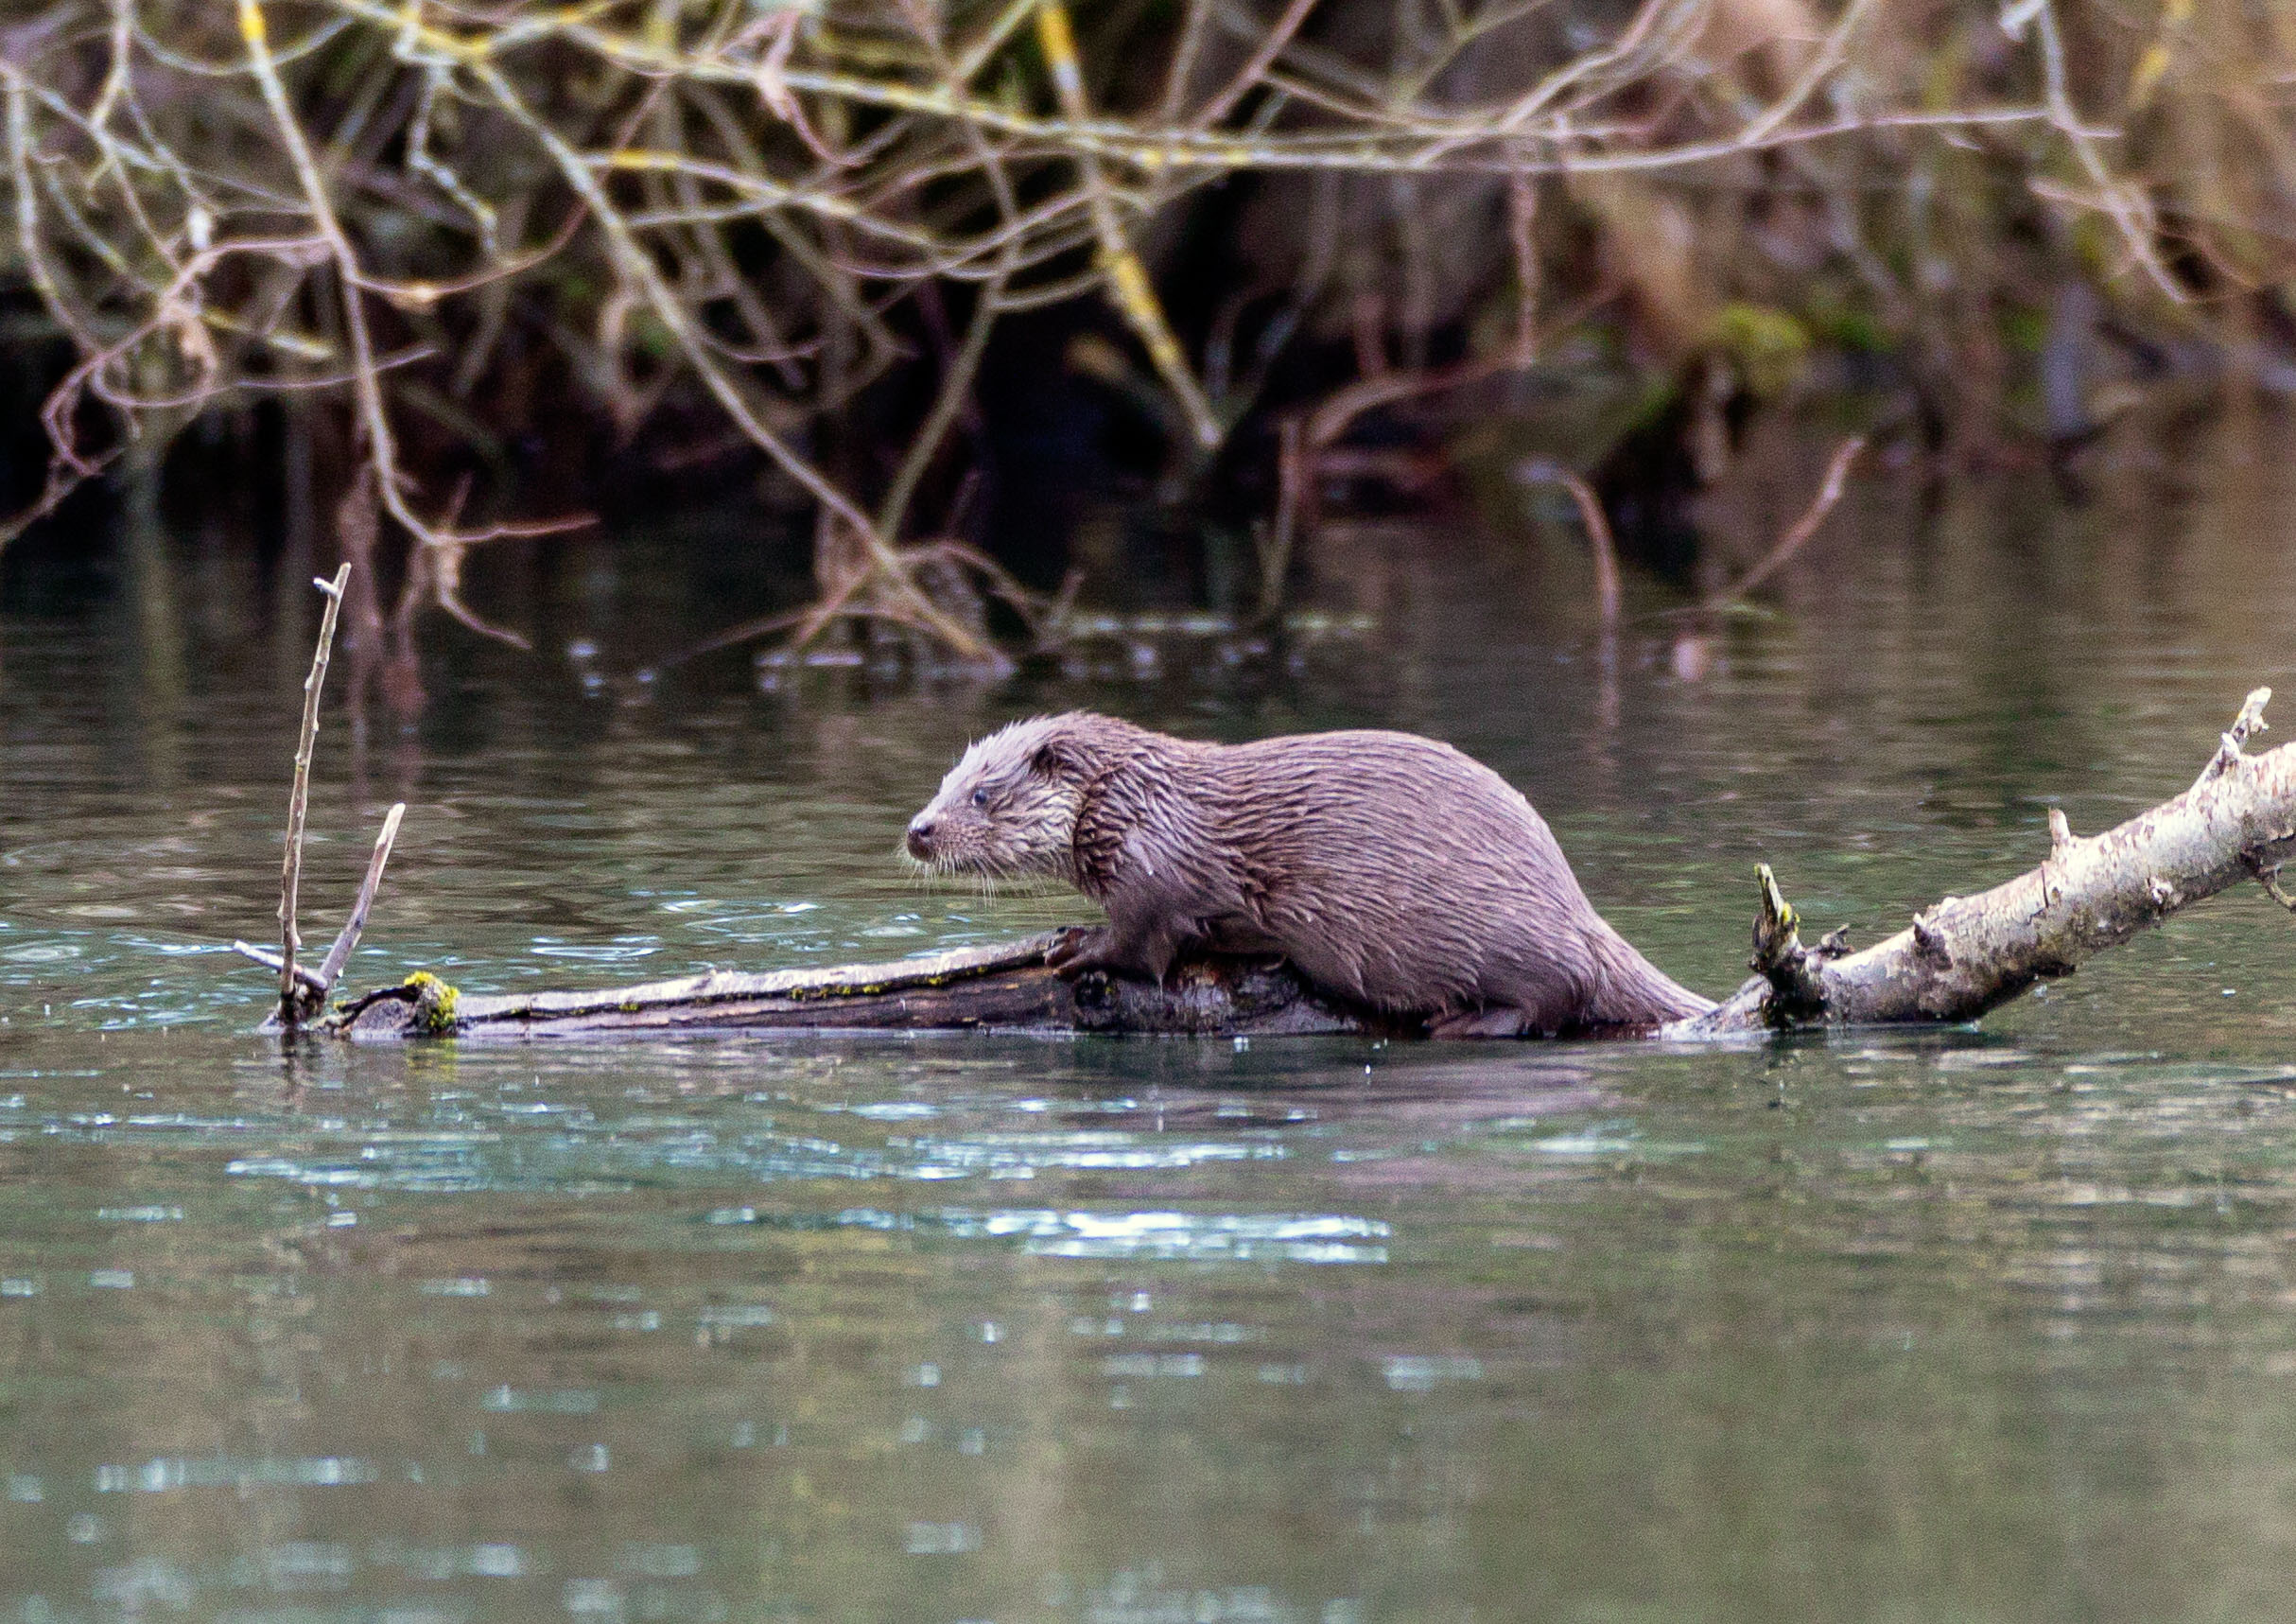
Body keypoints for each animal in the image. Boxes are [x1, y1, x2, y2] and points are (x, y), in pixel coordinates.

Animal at [903, 713, 1712, 1035]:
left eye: (981, 794)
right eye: (943, 782)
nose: (918, 829)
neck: (1137, 800)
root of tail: (1576, 903)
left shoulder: (1150, 867)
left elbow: (1143, 941)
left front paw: (1075, 947)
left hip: (1514, 931)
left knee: (1562, 989)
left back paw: (1466, 1020)